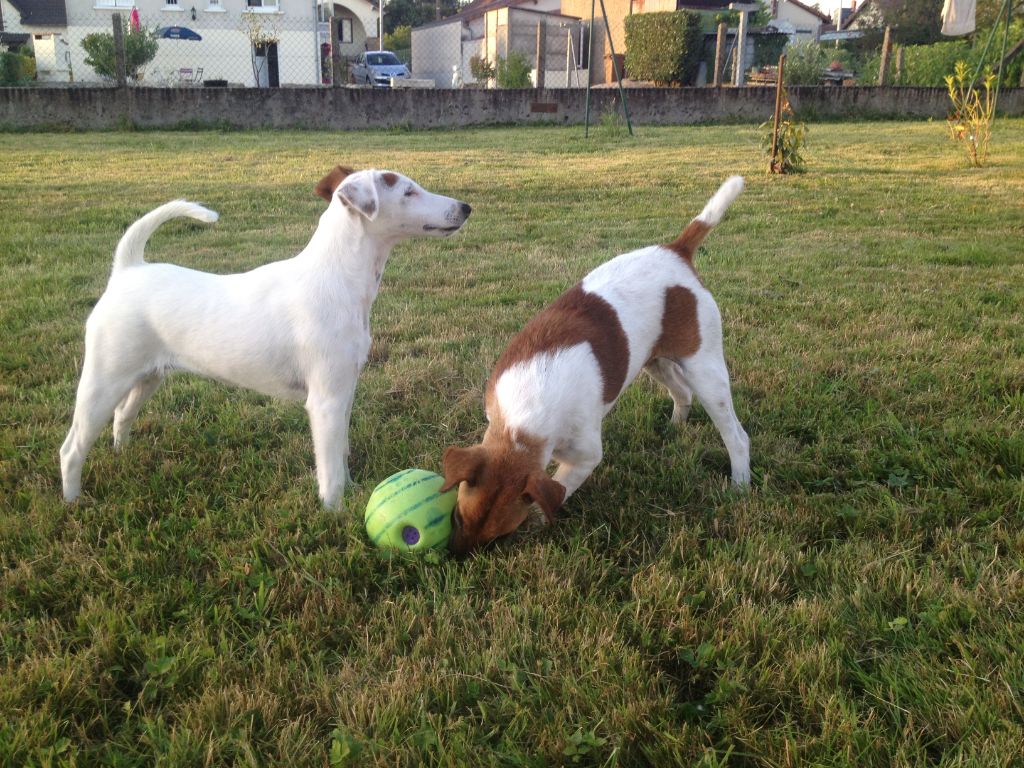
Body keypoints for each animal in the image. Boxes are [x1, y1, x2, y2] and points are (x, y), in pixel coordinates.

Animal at [60, 166, 472, 507]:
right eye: (408, 192)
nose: (465, 207)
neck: (337, 278)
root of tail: (127, 271)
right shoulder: (325, 402)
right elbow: (330, 469)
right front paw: (334, 513)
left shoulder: (345, 391)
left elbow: (341, 453)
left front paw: (354, 491)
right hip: (103, 381)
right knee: (73, 448)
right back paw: (73, 502)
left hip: (147, 377)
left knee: (122, 417)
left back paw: (122, 455)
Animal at [440, 176, 749, 554]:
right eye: (458, 517)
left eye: (498, 537)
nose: (453, 558)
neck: (526, 412)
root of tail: (676, 250)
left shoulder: (585, 457)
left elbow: (558, 489)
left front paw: (539, 522)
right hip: (654, 360)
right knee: (682, 392)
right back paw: (674, 427)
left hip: (706, 371)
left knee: (736, 435)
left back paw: (740, 484)